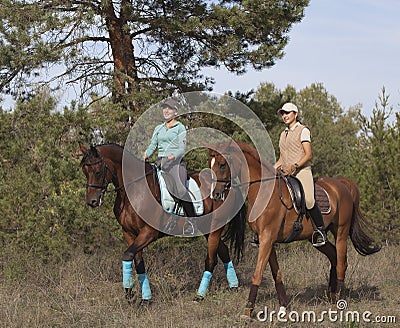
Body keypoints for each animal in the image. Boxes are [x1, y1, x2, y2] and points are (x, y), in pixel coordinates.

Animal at [79, 145, 247, 304]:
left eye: (98, 171)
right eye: (85, 171)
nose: (91, 201)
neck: (133, 191)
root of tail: (227, 186)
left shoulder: (148, 233)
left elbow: (127, 255)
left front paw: (129, 292)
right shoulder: (129, 233)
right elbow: (138, 262)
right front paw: (145, 299)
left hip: (215, 228)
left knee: (211, 260)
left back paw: (200, 296)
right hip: (206, 229)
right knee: (224, 251)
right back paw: (233, 286)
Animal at [209, 141, 382, 318]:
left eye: (222, 164)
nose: (215, 194)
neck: (264, 192)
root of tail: (342, 184)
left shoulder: (267, 239)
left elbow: (257, 274)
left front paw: (247, 311)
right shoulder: (267, 240)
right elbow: (276, 274)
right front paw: (284, 307)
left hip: (341, 232)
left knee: (341, 263)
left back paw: (337, 304)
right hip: (317, 239)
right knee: (334, 257)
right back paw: (332, 296)